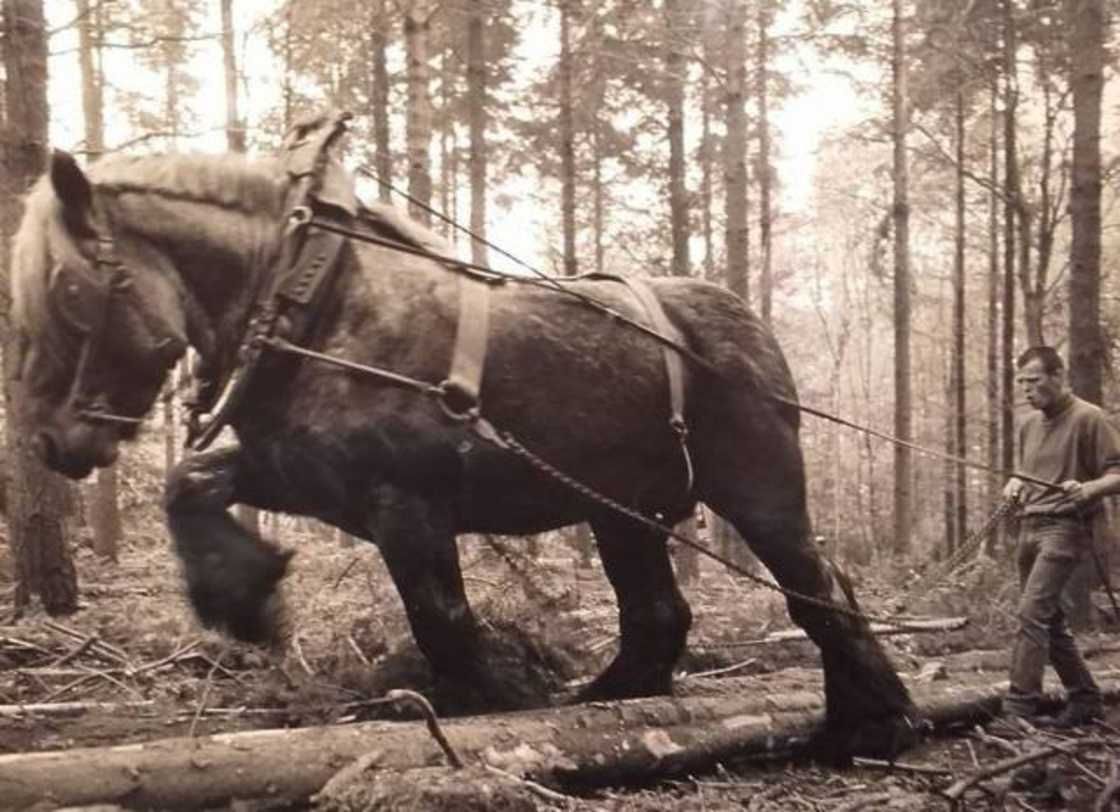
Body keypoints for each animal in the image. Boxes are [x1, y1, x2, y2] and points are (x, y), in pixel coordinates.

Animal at [8, 144, 918, 761]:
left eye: (67, 290)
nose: (52, 441)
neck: (317, 307)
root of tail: (743, 321)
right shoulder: (313, 479)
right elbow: (188, 481)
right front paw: (244, 596)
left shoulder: (404, 503)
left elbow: (440, 617)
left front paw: (499, 699)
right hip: (623, 512)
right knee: (659, 610)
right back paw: (621, 699)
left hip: (760, 492)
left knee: (818, 590)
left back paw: (871, 723)